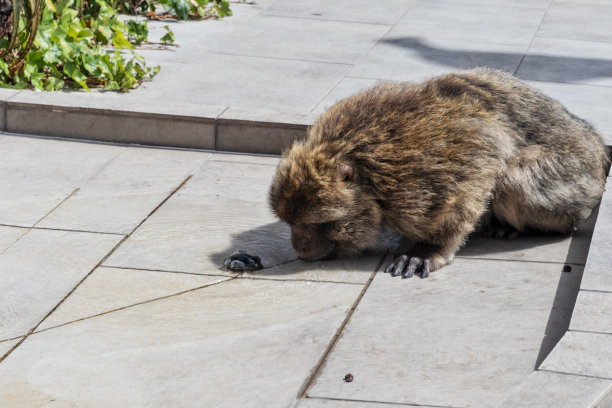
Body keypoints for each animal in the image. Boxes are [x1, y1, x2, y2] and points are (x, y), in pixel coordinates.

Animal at [231, 67, 612, 278]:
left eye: (313, 224)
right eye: (291, 224)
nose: (299, 245)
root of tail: (595, 141)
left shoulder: (421, 173)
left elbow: (482, 162)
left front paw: (428, 249)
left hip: (575, 185)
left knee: (513, 180)